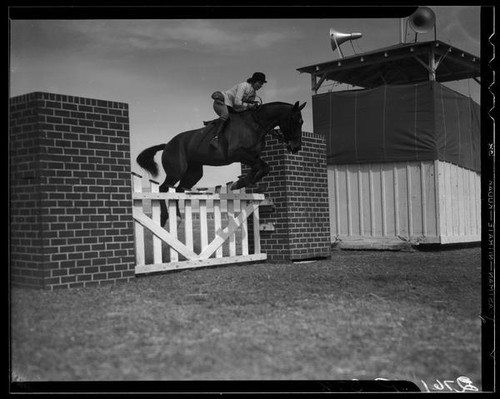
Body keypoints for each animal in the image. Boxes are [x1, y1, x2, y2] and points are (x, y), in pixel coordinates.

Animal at [136, 101, 304, 227]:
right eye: (296, 121)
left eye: (302, 122)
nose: (296, 147)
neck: (255, 124)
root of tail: (167, 144)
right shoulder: (237, 153)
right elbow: (260, 166)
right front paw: (240, 183)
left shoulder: (251, 156)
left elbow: (263, 167)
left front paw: (243, 182)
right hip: (176, 171)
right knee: (164, 188)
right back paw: (166, 217)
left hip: (194, 173)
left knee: (178, 190)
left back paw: (177, 217)